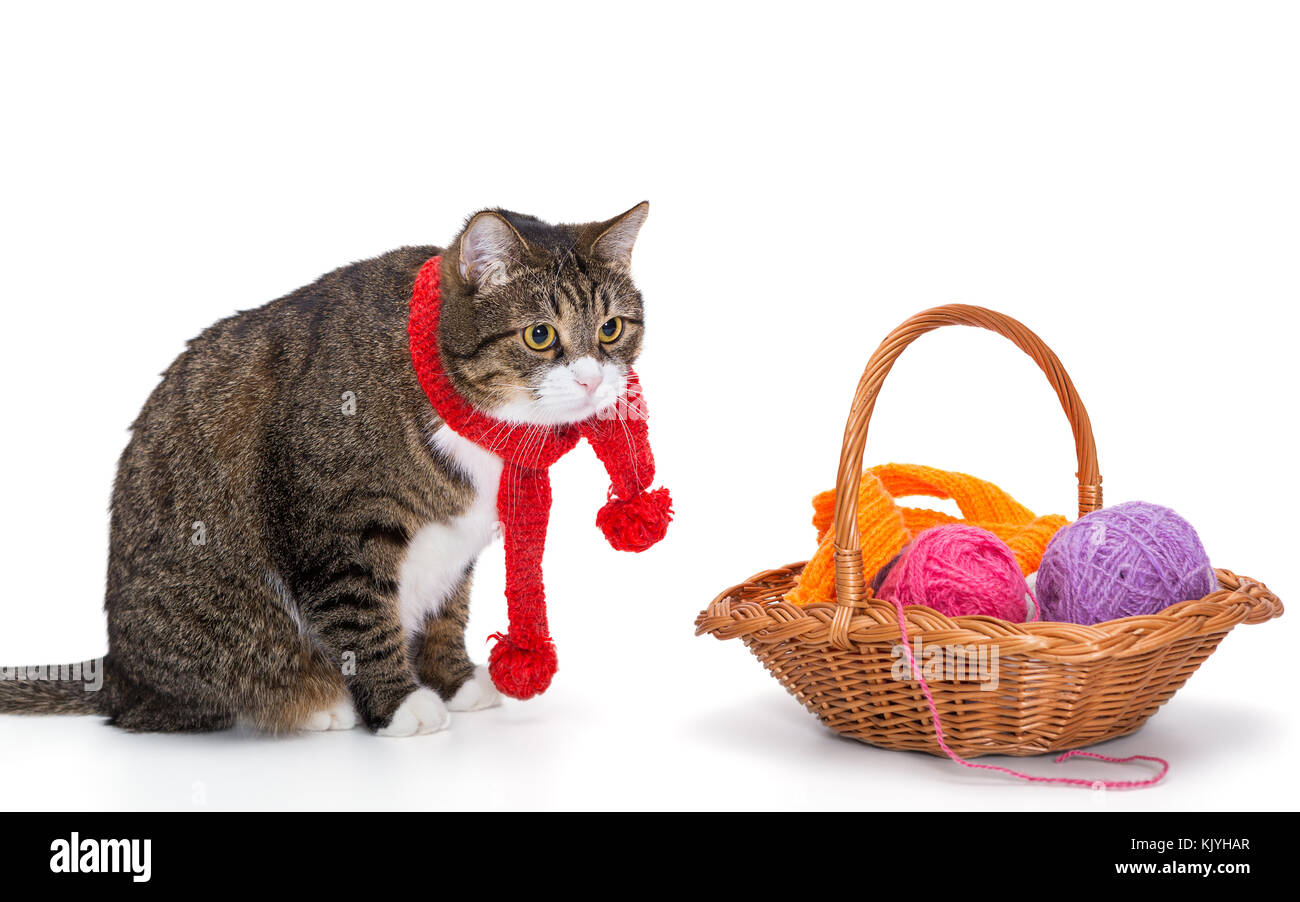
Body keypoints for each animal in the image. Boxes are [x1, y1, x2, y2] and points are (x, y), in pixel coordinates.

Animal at [0, 202, 650, 733]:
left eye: (611, 328)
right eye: (540, 335)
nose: (592, 379)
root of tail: (116, 672)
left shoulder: (458, 544)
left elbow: (449, 612)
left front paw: (453, 680)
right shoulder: (338, 526)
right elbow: (361, 617)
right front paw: (400, 703)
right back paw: (317, 705)